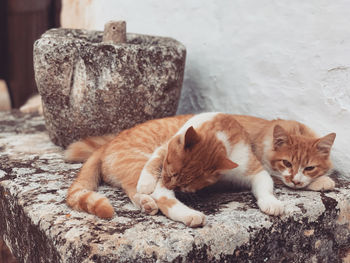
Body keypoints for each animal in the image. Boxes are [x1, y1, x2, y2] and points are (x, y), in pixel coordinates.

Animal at [65, 113, 284, 227]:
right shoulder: (163, 157)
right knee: (157, 195)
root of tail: (107, 143)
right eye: (169, 172)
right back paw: (185, 213)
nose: (168, 182)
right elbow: (156, 169)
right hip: (140, 162)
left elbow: (265, 188)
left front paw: (272, 203)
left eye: (186, 185)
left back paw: (147, 203)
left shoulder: (255, 170)